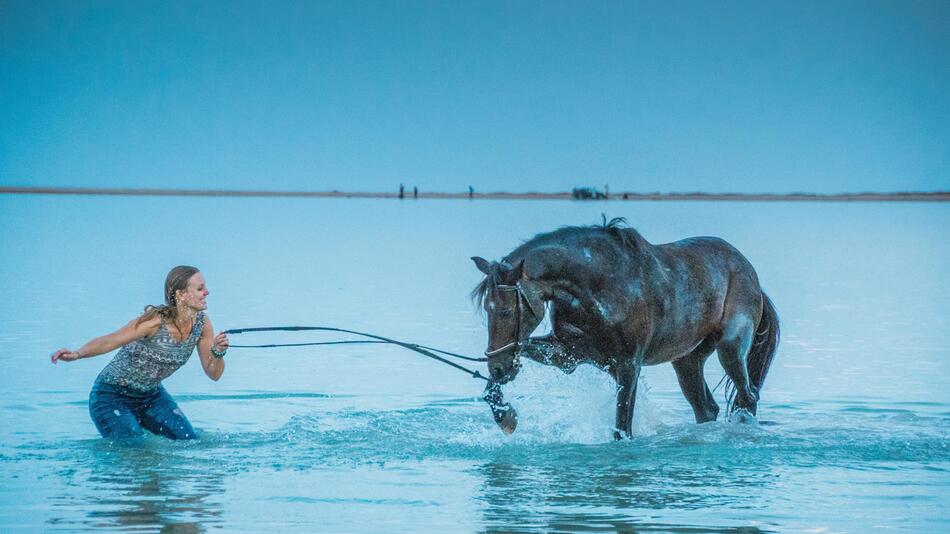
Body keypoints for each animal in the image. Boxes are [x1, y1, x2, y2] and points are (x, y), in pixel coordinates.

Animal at [474, 217, 780, 440]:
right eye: (486, 309)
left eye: (505, 310)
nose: (498, 368)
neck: (597, 284)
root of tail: (749, 271)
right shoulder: (568, 354)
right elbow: (506, 370)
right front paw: (506, 417)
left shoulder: (628, 364)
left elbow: (623, 429)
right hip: (687, 360)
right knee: (707, 408)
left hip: (731, 348)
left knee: (748, 396)